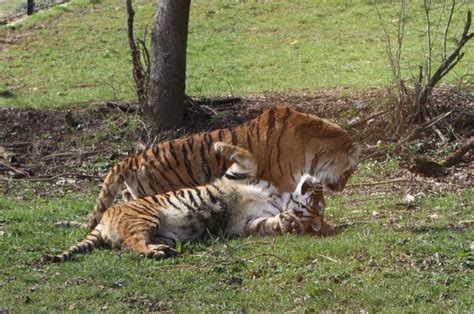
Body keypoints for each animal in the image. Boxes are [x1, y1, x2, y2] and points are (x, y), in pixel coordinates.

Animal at [42, 142, 328, 262]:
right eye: (319, 196)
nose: (319, 181)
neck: (279, 200)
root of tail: (104, 219)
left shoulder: (245, 223)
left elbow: (267, 224)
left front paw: (287, 223)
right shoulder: (241, 175)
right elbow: (249, 156)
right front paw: (219, 145)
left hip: (153, 225)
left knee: (130, 245)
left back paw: (156, 252)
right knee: (128, 244)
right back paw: (158, 252)